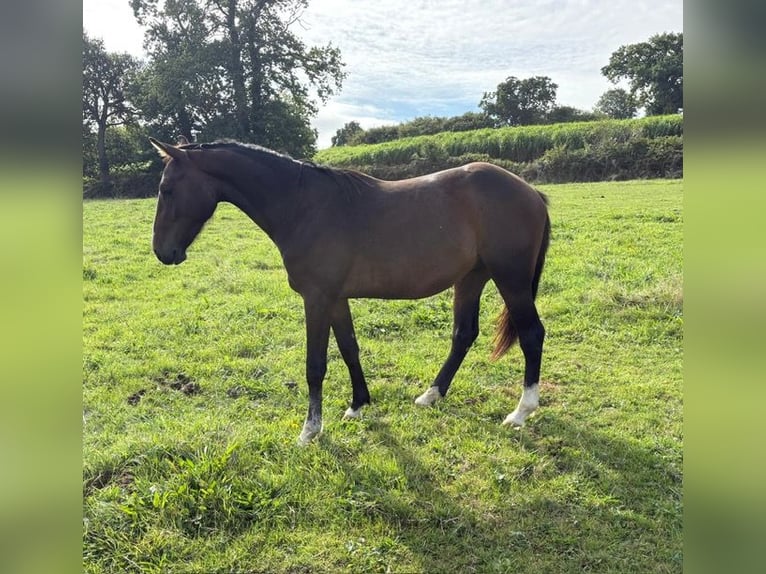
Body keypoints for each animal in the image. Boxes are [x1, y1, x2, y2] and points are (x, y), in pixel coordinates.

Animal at [148, 138, 551, 444]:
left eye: (166, 189)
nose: (163, 252)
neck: (303, 207)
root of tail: (531, 192)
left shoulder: (317, 298)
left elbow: (315, 365)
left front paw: (310, 430)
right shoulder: (336, 299)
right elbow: (349, 349)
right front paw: (358, 404)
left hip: (510, 279)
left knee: (532, 334)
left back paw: (521, 412)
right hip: (471, 278)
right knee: (463, 334)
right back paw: (431, 395)